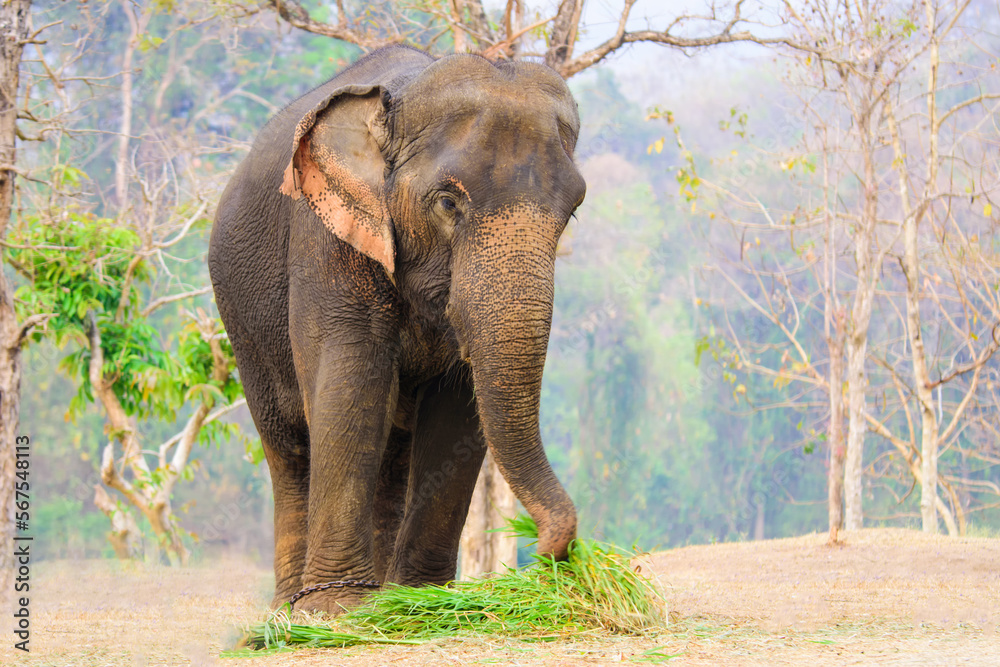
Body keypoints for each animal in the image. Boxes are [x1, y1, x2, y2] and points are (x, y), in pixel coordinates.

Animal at [208, 44, 586, 614]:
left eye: (573, 211)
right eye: (448, 202)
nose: (547, 558)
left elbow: (457, 410)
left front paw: (420, 604)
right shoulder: (326, 235)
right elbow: (351, 383)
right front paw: (336, 610)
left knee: (391, 449)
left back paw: (380, 595)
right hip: (242, 324)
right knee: (289, 446)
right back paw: (288, 613)